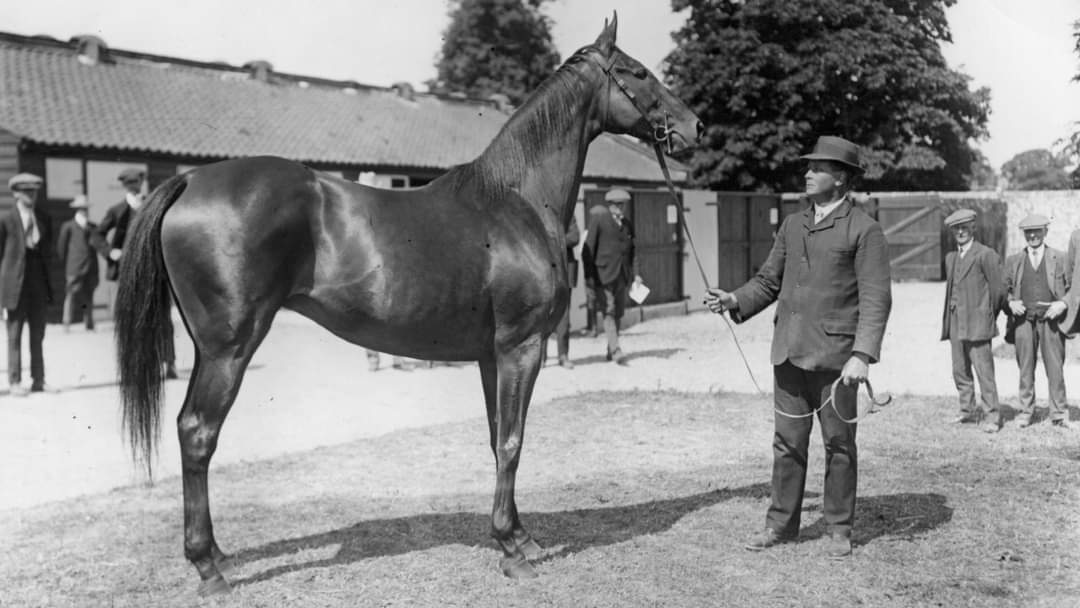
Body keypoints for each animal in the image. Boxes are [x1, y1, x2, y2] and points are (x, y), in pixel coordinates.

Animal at [116, 15, 699, 600]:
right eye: (638, 71)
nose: (693, 127)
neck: (517, 201)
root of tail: (191, 179)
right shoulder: (522, 347)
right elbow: (513, 440)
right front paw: (513, 551)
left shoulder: (491, 356)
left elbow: (496, 439)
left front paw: (519, 536)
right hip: (230, 348)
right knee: (198, 432)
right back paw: (208, 569)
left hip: (206, 347)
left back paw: (216, 555)